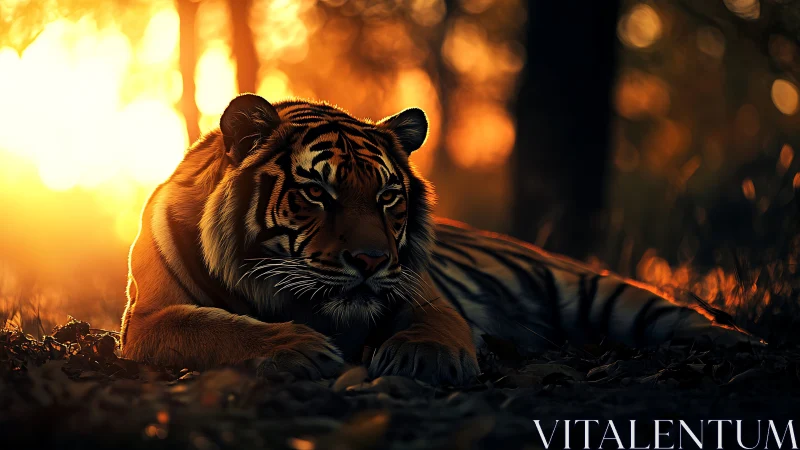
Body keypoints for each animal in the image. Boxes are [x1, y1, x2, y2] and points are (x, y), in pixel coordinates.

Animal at [120, 93, 758, 386]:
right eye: (318, 192)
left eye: (387, 196)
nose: (371, 260)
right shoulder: (149, 316)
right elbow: (214, 327)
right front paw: (295, 349)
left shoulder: (426, 296)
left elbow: (434, 326)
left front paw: (420, 358)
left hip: (608, 294)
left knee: (699, 322)